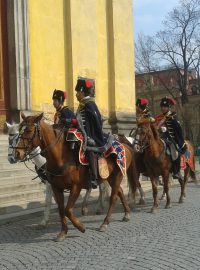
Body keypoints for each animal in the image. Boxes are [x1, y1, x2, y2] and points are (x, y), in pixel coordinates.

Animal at [14, 113, 138, 242]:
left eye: (29, 130)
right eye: (19, 129)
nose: (17, 153)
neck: (61, 157)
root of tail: (125, 145)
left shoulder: (76, 187)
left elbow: (68, 210)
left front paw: (80, 226)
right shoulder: (56, 187)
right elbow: (61, 209)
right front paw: (63, 232)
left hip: (117, 176)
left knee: (113, 198)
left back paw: (105, 223)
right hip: (111, 178)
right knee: (120, 191)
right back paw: (126, 214)